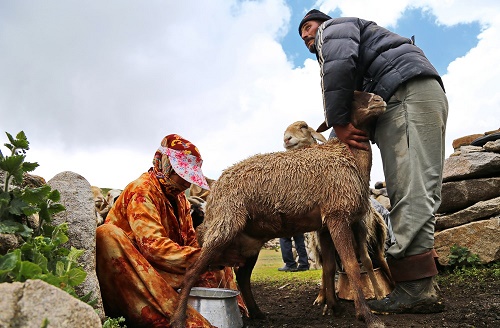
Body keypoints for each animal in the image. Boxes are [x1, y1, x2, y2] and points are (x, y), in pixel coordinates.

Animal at [284, 121, 392, 308]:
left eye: (304, 127)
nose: (286, 139)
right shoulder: (322, 242)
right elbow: (327, 269)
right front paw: (322, 297)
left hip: (371, 239)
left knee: (375, 262)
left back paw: (383, 291)